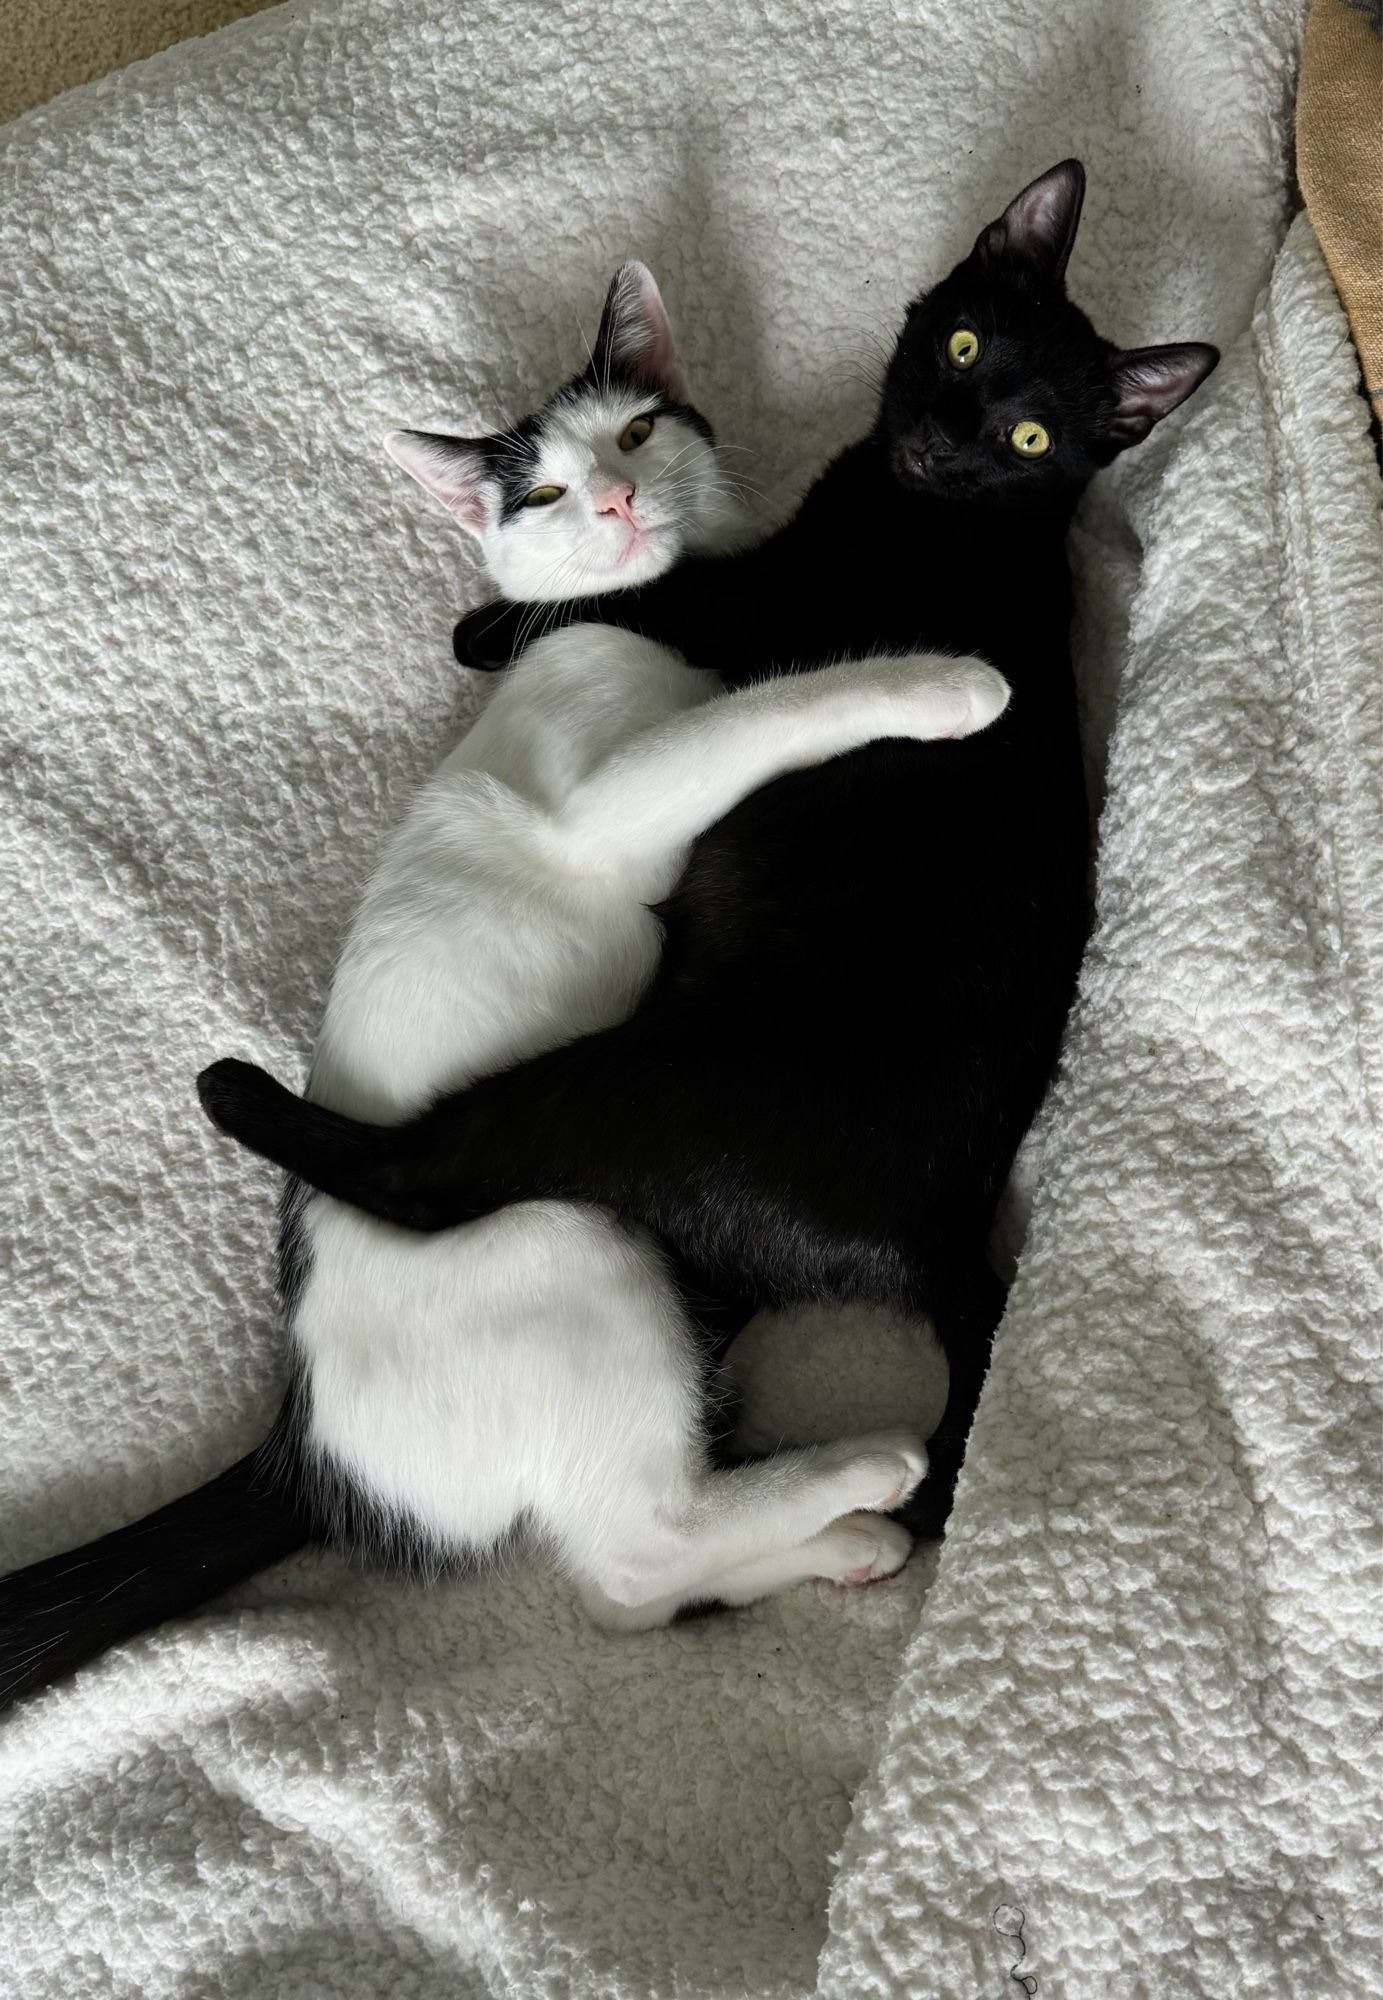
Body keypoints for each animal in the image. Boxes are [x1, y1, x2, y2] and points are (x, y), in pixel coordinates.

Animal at [0, 266, 1003, 1704]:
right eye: (540, 495)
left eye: (636, 433)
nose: (619, 503)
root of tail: (310, 1438)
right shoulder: (602, 798)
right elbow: (768, 708)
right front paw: (938, 683)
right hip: (569, 1242)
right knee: (636, 1551)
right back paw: (865, 1469)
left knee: (631, 1583)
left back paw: (843, 1539)